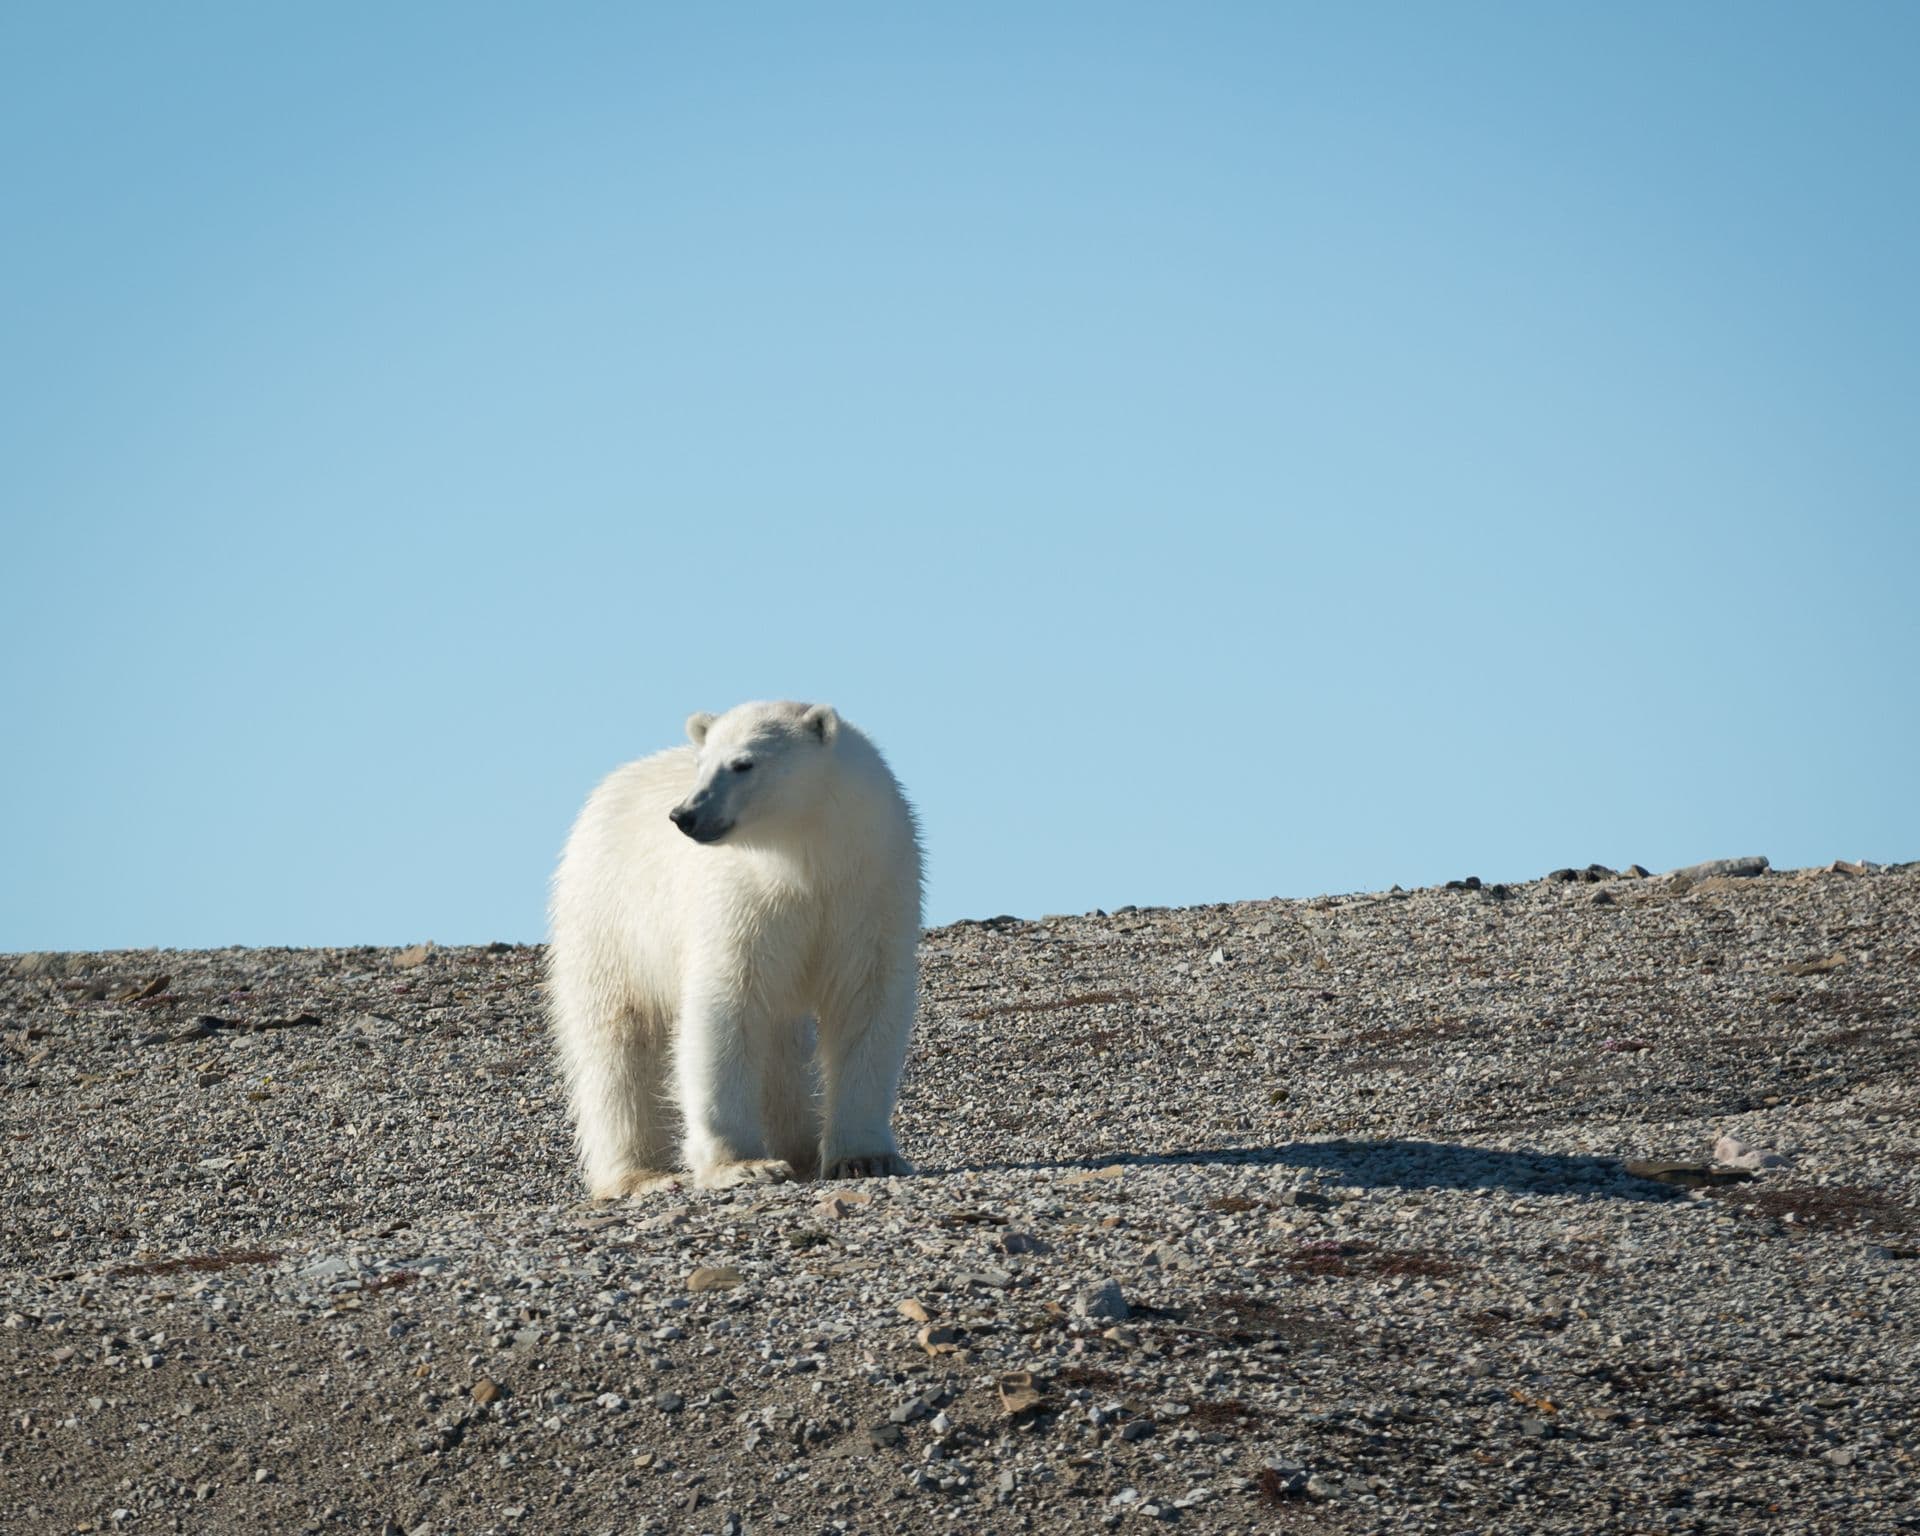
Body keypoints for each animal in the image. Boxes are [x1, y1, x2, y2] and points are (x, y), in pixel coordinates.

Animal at [546, 700, 923, 1196]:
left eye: (743, 763)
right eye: (700, 764)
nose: (685, 814)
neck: (805, 859)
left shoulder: (870, 889)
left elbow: (865, 1003)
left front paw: (865, 1158)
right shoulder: (741, 901)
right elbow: (727, 1007)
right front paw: (743, 1165)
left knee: (781, 1046)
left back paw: (799, 1147)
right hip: (609, 919)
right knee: (617, 1041)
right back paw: (642, 1174)